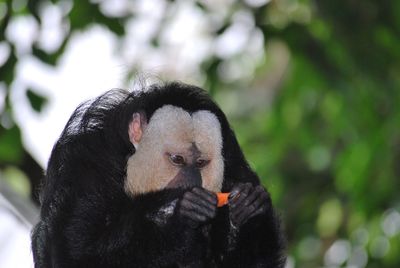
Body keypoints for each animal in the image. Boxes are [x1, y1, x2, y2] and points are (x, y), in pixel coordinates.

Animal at [32, 82, 286, 268]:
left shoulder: (235, 164)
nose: (192, 181)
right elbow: (76, 255)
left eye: (201, 163)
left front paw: (244, 209)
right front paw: (175, 212)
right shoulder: (86, 167)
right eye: (177, 159)